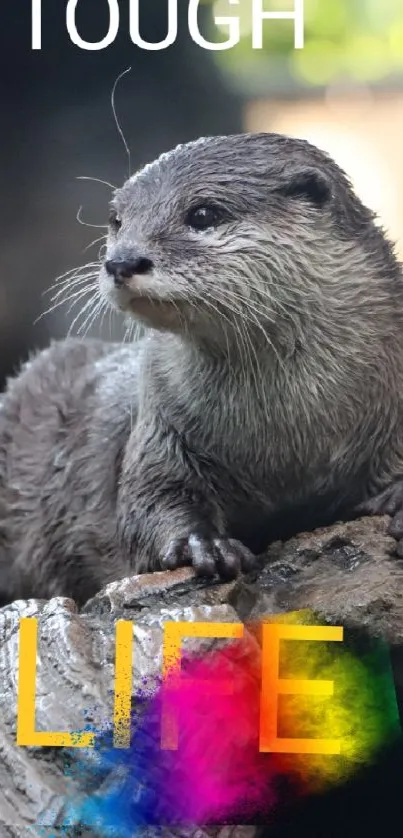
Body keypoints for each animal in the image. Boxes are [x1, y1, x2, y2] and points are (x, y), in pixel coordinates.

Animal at [0, 136, 403, 612]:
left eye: (203, 214)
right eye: (117, 220)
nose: (121, 261)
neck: (287, 437)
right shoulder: (159, 424)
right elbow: (147, 502)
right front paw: (202, 545)